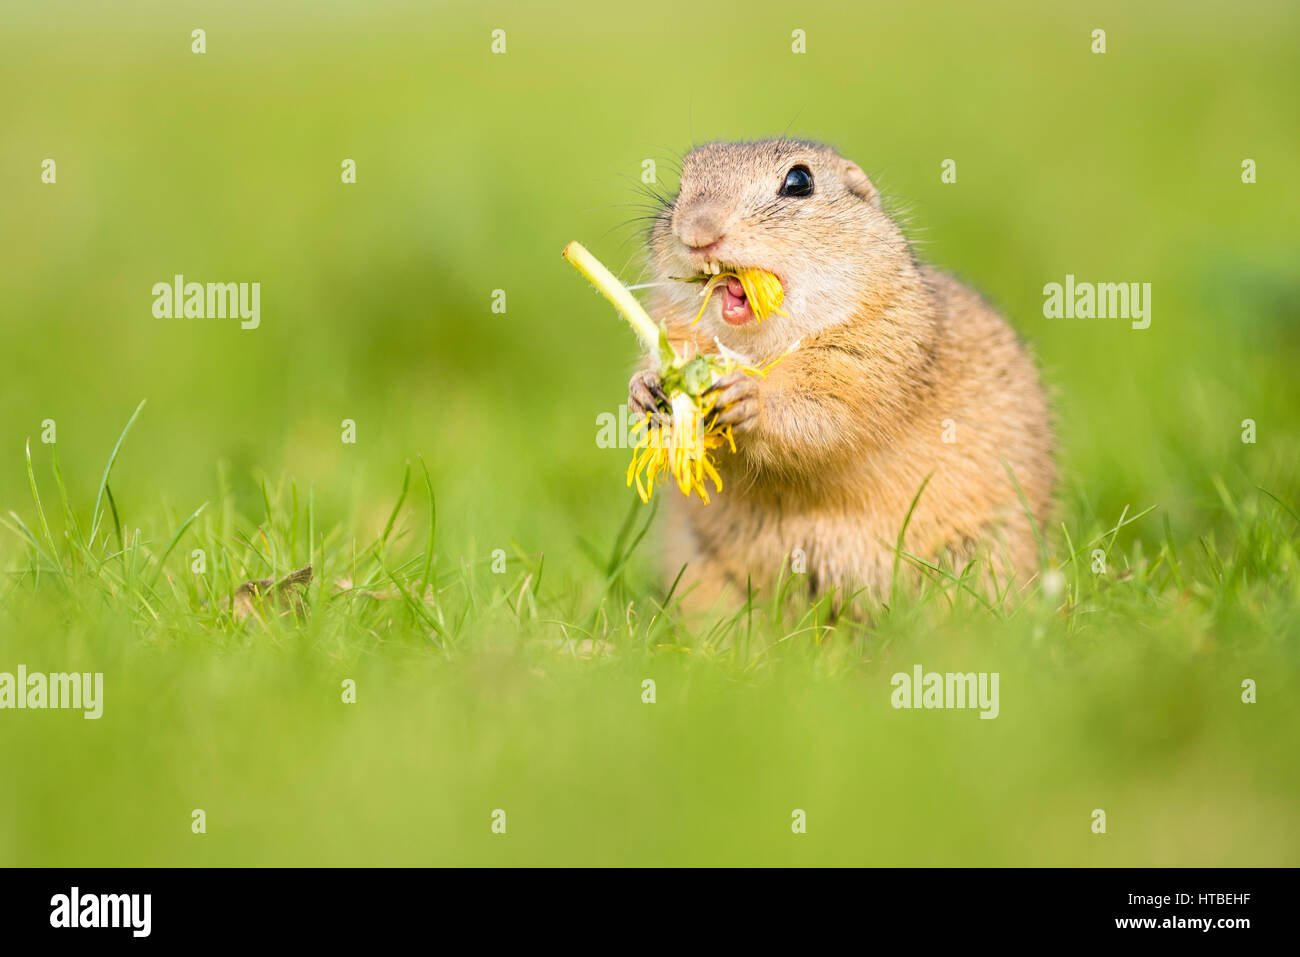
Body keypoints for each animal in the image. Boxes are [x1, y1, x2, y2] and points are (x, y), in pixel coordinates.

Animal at [627, 138, 1055, 611]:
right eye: (682, 181)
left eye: (799, 181)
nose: (698, 232)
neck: (756, 346)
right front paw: (645, 390)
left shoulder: (873, 350)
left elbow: (828, 411)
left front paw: (747, 396)